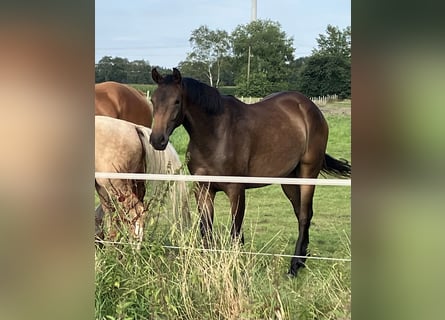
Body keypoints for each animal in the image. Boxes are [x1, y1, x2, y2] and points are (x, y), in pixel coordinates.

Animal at [149, 68, 350, 278]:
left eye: (176, 101)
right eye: (153, 100)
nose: (157, 140)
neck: (215, 134)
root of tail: (310, 108)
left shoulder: (236, 190)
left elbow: (236, 232)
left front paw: (237, 268)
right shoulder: (203, 190)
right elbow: (207, 231)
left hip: (308, 173)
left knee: (304, 215)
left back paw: (294, 266)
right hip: (288, 180)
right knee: (301, 213)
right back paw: (302, 260)